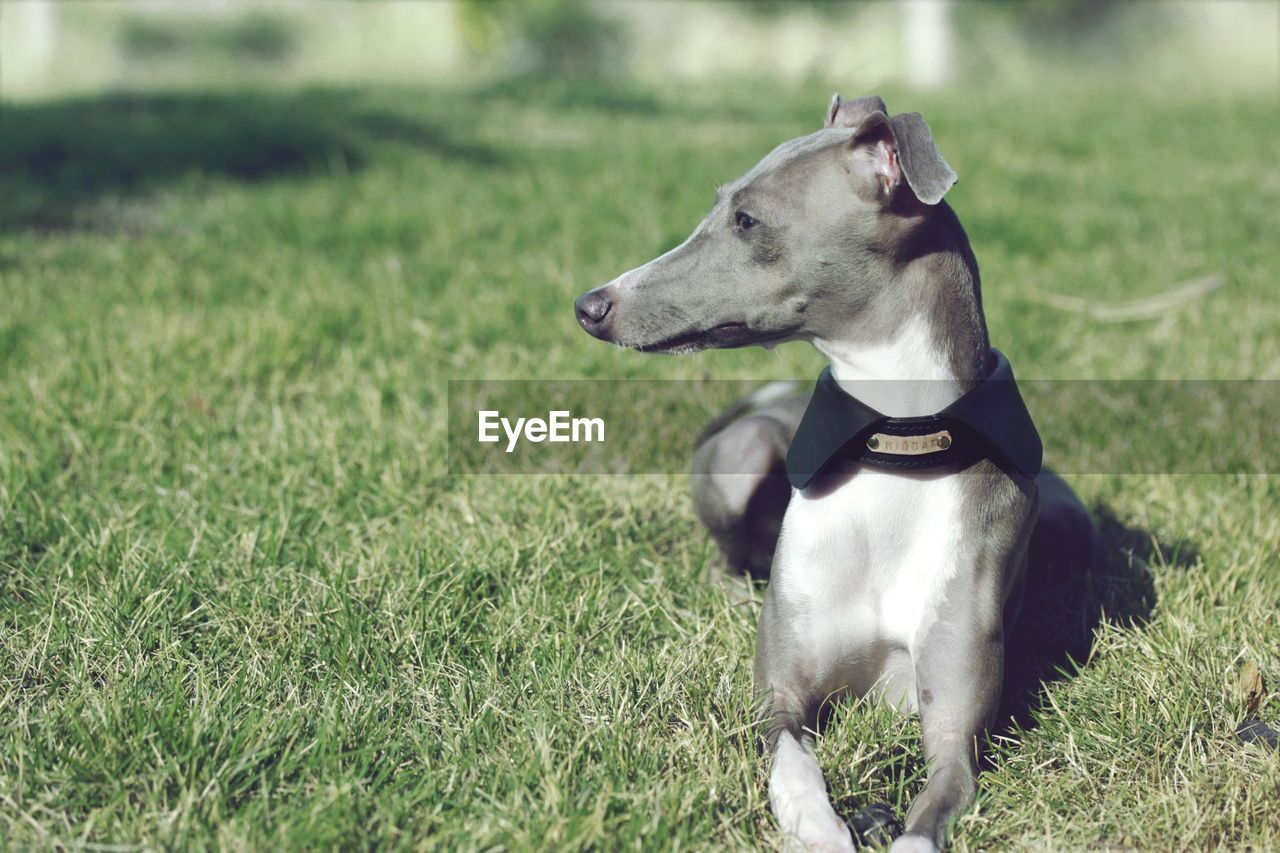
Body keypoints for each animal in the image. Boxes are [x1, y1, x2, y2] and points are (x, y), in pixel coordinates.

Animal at [576, 94, 1095, 850]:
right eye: (720, 203)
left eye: (746, 219)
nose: (590, 305)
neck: (897, 445)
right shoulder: (780, 697)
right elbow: (793, 767)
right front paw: (821, 828)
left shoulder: (953, 735)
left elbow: (927, 813)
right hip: (741, 455)